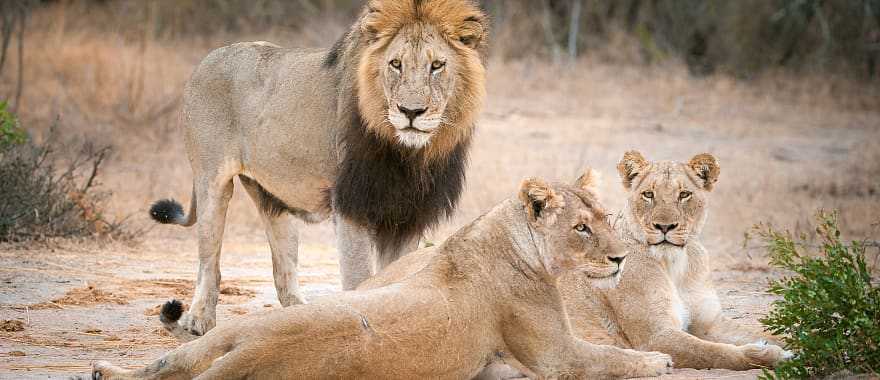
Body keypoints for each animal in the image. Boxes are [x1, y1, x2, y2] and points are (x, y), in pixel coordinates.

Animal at [91, 174, 672, 380]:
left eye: (608, 218)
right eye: (580, 228)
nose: (621, 259)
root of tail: (252, 349)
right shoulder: (556, 354)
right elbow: (612, 357)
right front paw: (658, 361)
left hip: (218, 337)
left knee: (163, 365)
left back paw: (104, 370)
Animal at [145, 0, 488, 338]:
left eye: (437, 65)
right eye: (395, 64)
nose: (411, 112)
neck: (408, 153)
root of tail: (208, 58)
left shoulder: (409, 215)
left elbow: (399, 277)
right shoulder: (352, 206)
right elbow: (360, 279)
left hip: (272, 197)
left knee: (282, 272)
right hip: (211, 181)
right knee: (209, 260)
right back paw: (198, 320)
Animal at [560, 152, 796, 372]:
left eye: (684, 195)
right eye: (648, 194)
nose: (664, 227)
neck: (675, 264)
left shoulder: (709, 324)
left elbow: (766, 334)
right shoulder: (656, 336)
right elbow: (713, 352)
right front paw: (773, 355)